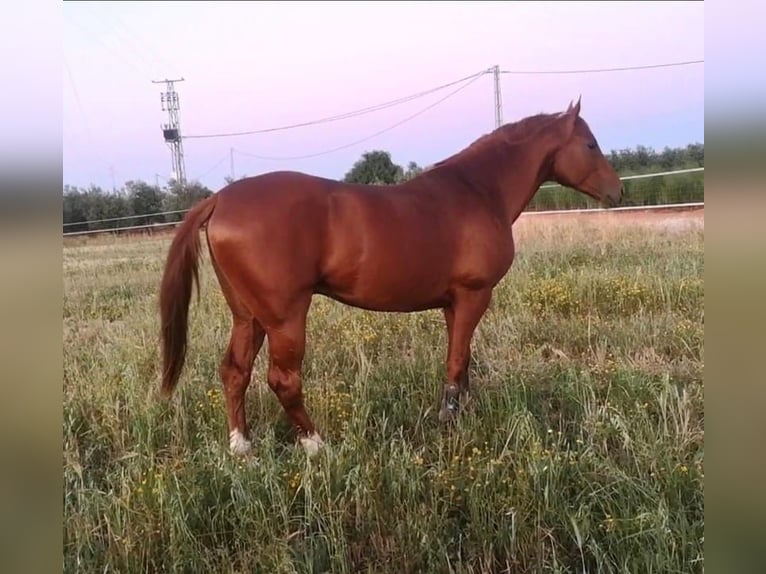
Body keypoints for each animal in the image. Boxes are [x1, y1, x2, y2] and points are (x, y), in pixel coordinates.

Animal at [158, 99, 624, 460]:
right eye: (590, 144)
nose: (617, 192)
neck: (477, 191)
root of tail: (220, 199)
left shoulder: (454, 303)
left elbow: (462, 361)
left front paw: (463, 412)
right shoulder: (474, 295)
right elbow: (456, 362)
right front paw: (448, 421)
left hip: (248, 316)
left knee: (234, 372)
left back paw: (243, 448)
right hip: (284, 317)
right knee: (283, 380)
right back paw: (316, 445)